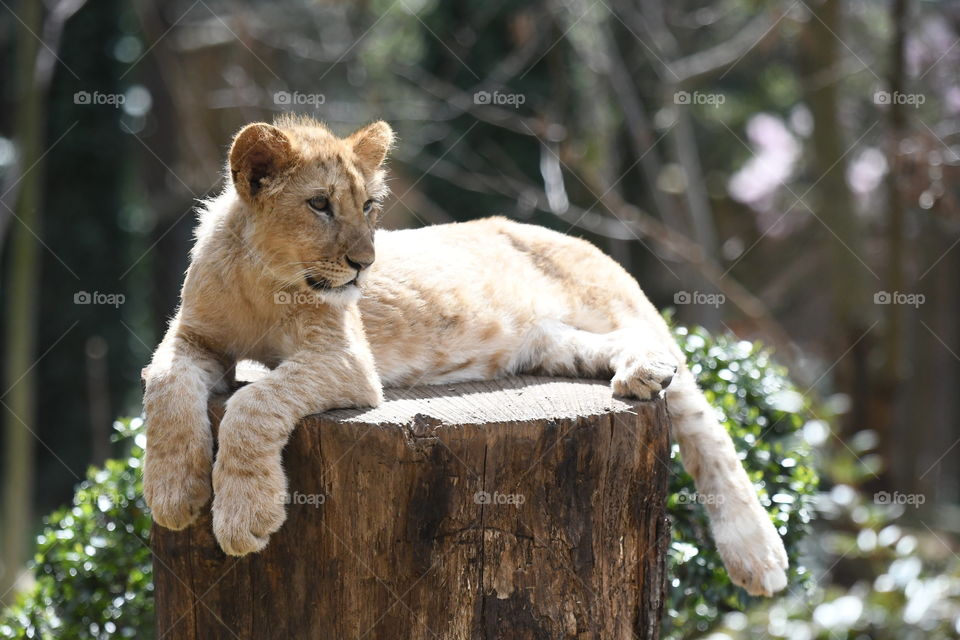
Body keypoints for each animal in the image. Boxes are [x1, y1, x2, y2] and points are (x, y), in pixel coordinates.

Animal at [142, 114, 788, 596]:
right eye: (320, 204)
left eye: (370, 206)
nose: (365, 264)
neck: (262, 278)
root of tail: (582, 240)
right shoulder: (194, 338)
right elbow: (164, 383)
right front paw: (174, 492)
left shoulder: (346, 361)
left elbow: (253, 403)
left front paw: (242, 515)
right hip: (554, 342)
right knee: (619, 354)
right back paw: (640, 372)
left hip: (621, 310)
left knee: (704, 425)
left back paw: (757, 553)